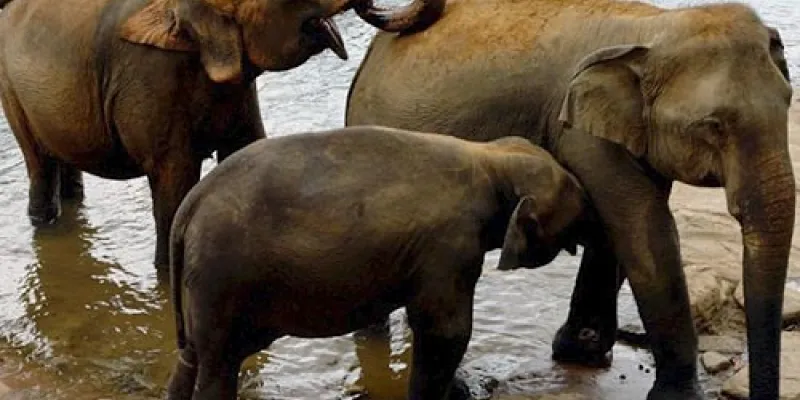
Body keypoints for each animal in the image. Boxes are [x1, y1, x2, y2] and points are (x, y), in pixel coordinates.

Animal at [0, 0, 445, 272]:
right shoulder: (151, 76)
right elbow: (175, 179)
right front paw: (170, 275)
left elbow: (243, 149)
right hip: (11, 91)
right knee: (39, 163)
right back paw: (45, 220)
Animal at [166, 126, 591, 399]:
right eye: (578, 201)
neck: (492, 158)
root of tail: (189, 207)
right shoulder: (449, 247)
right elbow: (445, 332)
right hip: (221, 276)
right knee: (217, 366)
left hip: (203, 282)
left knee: (191, 358)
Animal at [345, 1, 795, 399]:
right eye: (712, 126)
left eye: (789, 101)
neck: (654, 27)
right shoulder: (580, 131)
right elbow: (644, 229)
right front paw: (677, 396)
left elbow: (620, 226)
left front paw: (581, 352)